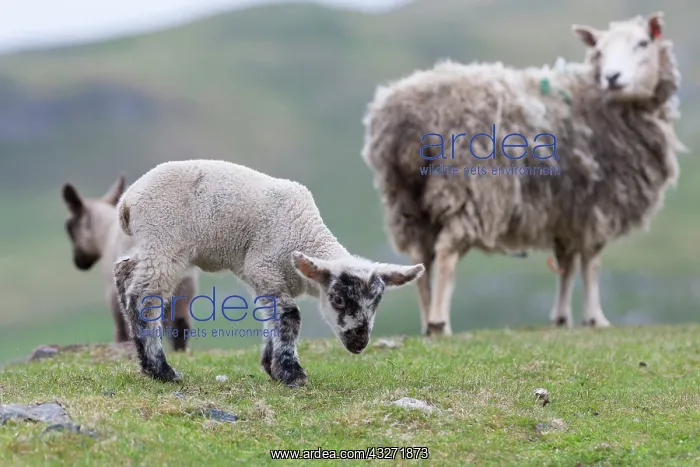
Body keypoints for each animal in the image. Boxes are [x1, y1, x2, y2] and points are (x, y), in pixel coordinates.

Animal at [61, 174, 198, 350]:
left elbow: (120, 326)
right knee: (181, 325)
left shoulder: (112, 291)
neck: (104, 234)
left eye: (69, 227)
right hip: (185, 286)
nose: (79, 262)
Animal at [113, 159, 425, 387]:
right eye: (337, 299)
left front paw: (271, 365)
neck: (303, 233)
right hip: (164, 241)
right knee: (144, 297)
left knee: (123, 272)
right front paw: (291, 373)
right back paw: (162, 370)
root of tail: (128, 201)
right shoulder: (264, 268)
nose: (359, 344)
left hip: (153, 245)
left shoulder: (263, 279)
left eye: (377, 303)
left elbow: (271, 319)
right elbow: (289, 317)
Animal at [360, 11, 685, 336]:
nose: (612, 77)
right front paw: (596, 318)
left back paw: (428, 321)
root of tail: (408, 114)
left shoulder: (567, 211)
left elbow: (566, 263)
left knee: (420, 256)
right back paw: (440, 323)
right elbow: (591, 262)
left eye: (643, 43)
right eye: (599, 50)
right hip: (471, 188)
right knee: (446, 252)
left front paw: (561, 318)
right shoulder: (597, 206)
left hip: (406, 198)